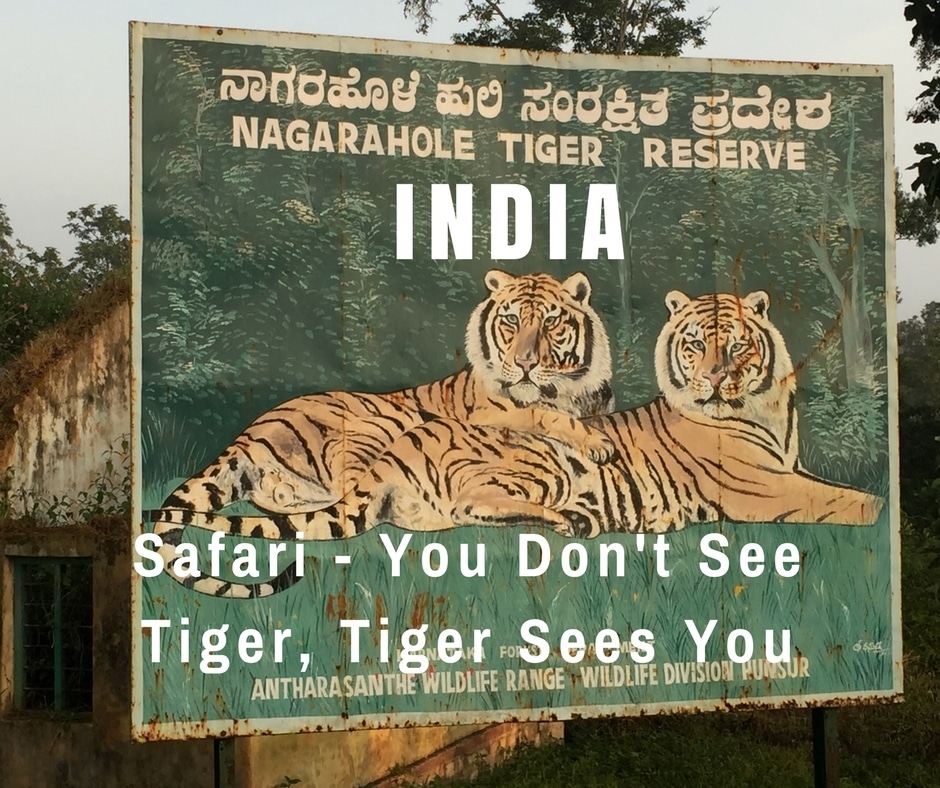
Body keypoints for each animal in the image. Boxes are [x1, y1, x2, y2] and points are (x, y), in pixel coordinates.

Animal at [152, 290, 880, 596]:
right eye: (696, 343)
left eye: (736, 343)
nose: (714, 378)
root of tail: (251, 429)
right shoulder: (766, 488)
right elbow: (843, 499)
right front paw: (877, 510)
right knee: (474, 508)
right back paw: (570, 520)